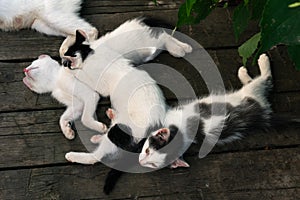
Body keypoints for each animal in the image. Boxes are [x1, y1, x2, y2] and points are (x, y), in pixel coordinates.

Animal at [139, 53, 274, 169]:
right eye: (152, 164)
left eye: (147, 151)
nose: (140, 162)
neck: (181, 133)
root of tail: (261, 110)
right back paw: (244, 74)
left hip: (251, 91)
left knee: (265, 79)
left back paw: (262, 62)